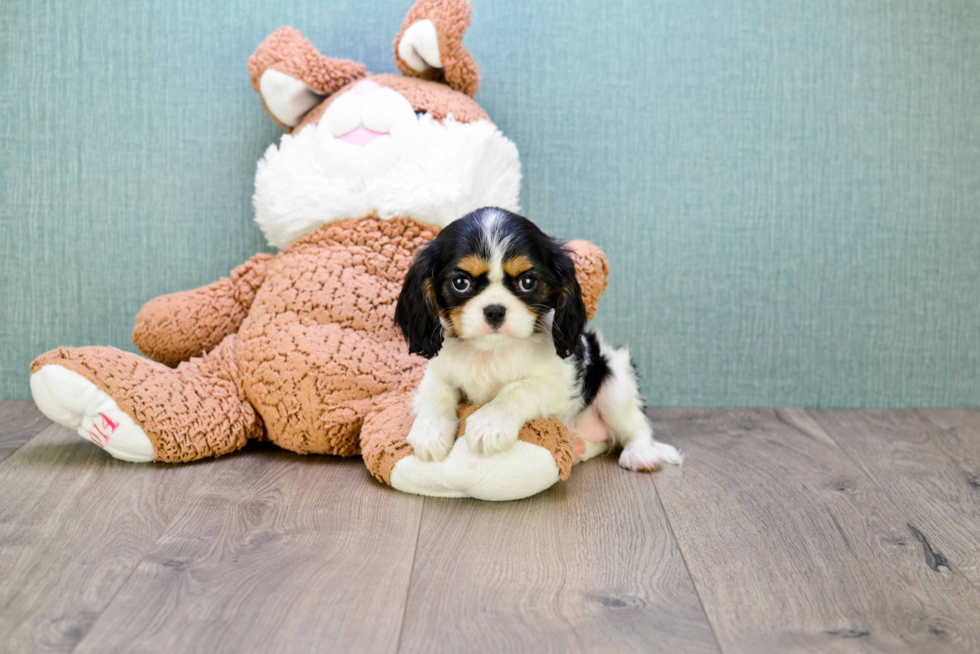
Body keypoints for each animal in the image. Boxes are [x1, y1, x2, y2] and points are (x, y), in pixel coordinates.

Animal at [392, 209, 680, 472]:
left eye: (527, 282)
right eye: (461, 282)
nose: (494, 310)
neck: (491, 351)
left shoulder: (560, 382)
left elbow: (518, 389)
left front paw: (490, 424)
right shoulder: (437, 372)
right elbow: (436, 392)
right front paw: (429, 432)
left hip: (615, 383)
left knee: (637, 428)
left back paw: (641, 454)